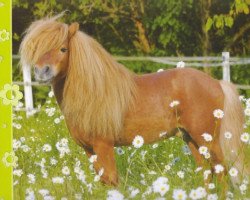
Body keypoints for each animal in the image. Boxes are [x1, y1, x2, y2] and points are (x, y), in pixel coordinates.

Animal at [19, 15, 248, 186]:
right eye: (37, 49)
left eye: (63, 49)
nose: (42, 72)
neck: (92, 92)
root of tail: (217, 83)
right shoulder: (89, 150)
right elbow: (102, 181)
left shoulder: (103, 145)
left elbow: (112, 180)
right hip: (191, 139)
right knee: (206, 173)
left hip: (207, 138)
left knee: (221, 171)